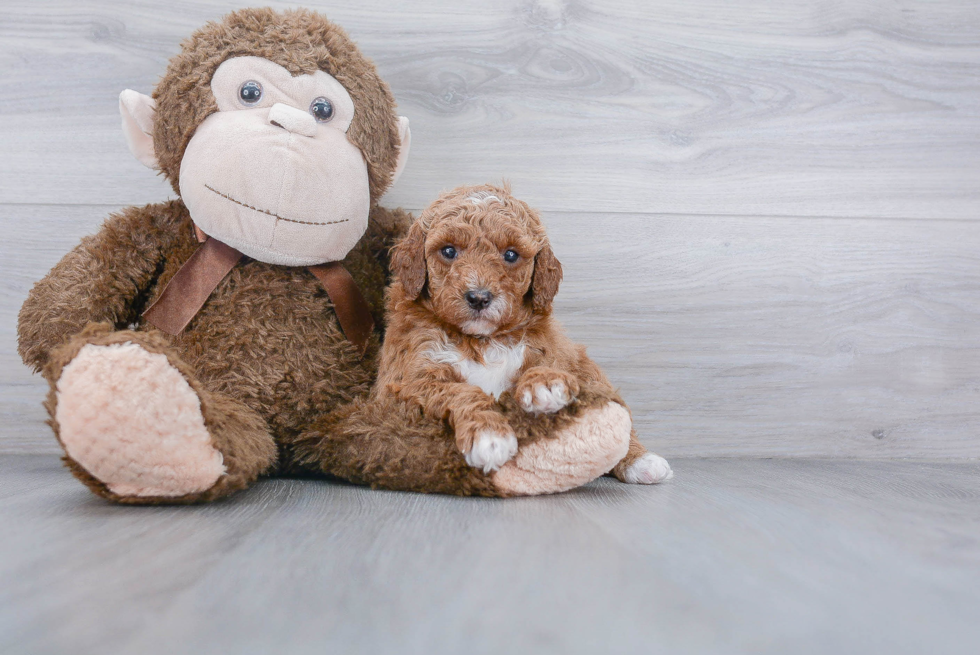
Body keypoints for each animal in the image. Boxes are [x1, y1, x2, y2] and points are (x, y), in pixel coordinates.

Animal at [378, 182, 668, 484]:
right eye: (448, 251)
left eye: (510, 255)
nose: (479, 298)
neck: (483, 340)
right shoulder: (405, 383)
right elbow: (459, 390)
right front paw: (490, 436)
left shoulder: (550, 348)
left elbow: (546, 362)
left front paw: (545, 383)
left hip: (588, 369)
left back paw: (641, 460)